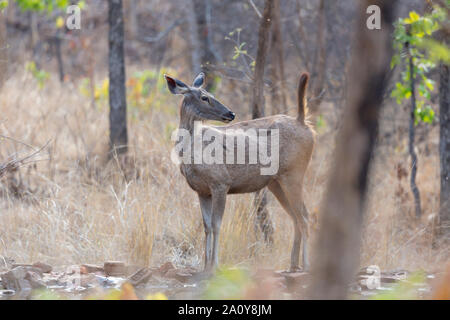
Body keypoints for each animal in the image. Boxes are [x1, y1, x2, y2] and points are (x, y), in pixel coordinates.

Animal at [163, 72, 314, 272]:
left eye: (211, 94)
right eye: (204, 97)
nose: (231, 113)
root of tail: (304, 123)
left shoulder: (221, 182)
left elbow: (216, 224)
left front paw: (215, 265)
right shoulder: (202, 190)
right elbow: (206, 226)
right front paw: (205, 266)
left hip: (294, 173)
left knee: (305, 216)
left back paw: (306, 265)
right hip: (276, 182)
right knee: (296, 217)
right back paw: (292, 265)